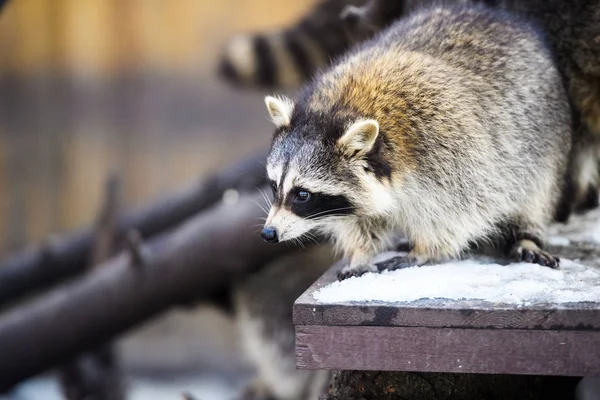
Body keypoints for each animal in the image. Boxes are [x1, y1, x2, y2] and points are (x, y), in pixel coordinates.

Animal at [260, 5, 568, 282]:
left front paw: (426, 250)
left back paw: (526, 235)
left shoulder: (451, 149)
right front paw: (361, 253)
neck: (340, 108)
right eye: (275, 186)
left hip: (541, 141)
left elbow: (462, 210)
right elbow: (359, 220)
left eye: (303, 194)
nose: (269, 233)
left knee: (533, 193)